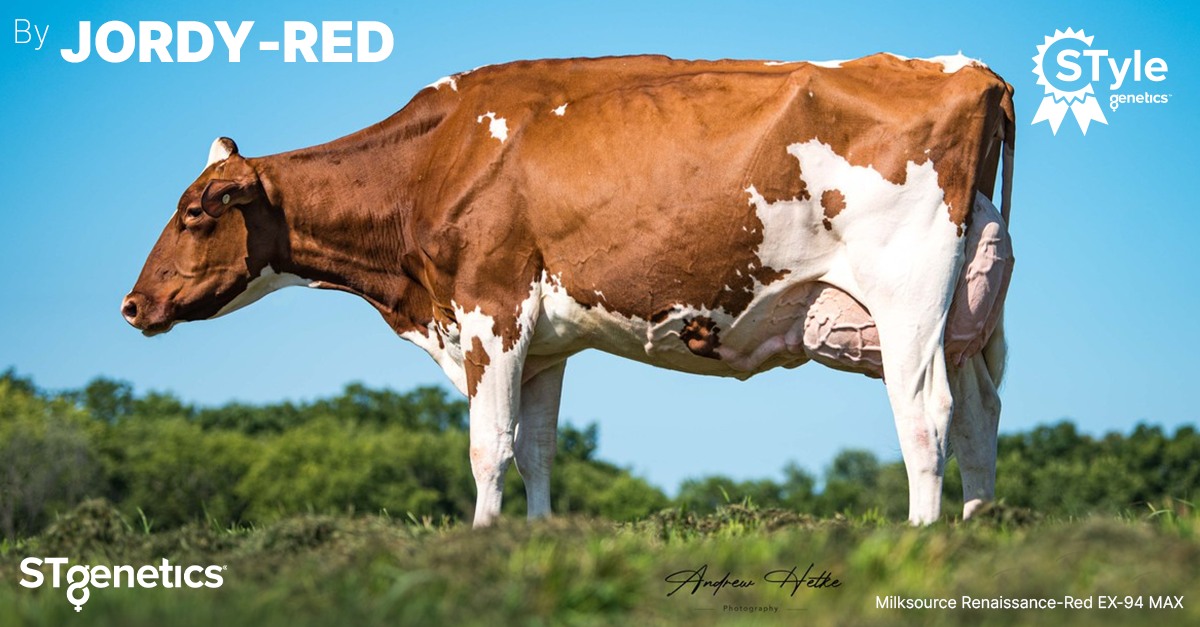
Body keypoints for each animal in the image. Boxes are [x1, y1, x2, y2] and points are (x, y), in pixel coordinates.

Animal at [122, 53, 1015, 526]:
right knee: (979, 421)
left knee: (926, 416)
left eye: (195, 211)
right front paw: (533, 538)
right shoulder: (545, 342)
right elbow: (537, 449)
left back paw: (920, 537)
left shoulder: (489, 309)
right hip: (970, 316)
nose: (131, 304)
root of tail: (970, 72)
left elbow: (488, 445)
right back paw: (973, 536)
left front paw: (480, 543)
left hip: (907, 295)